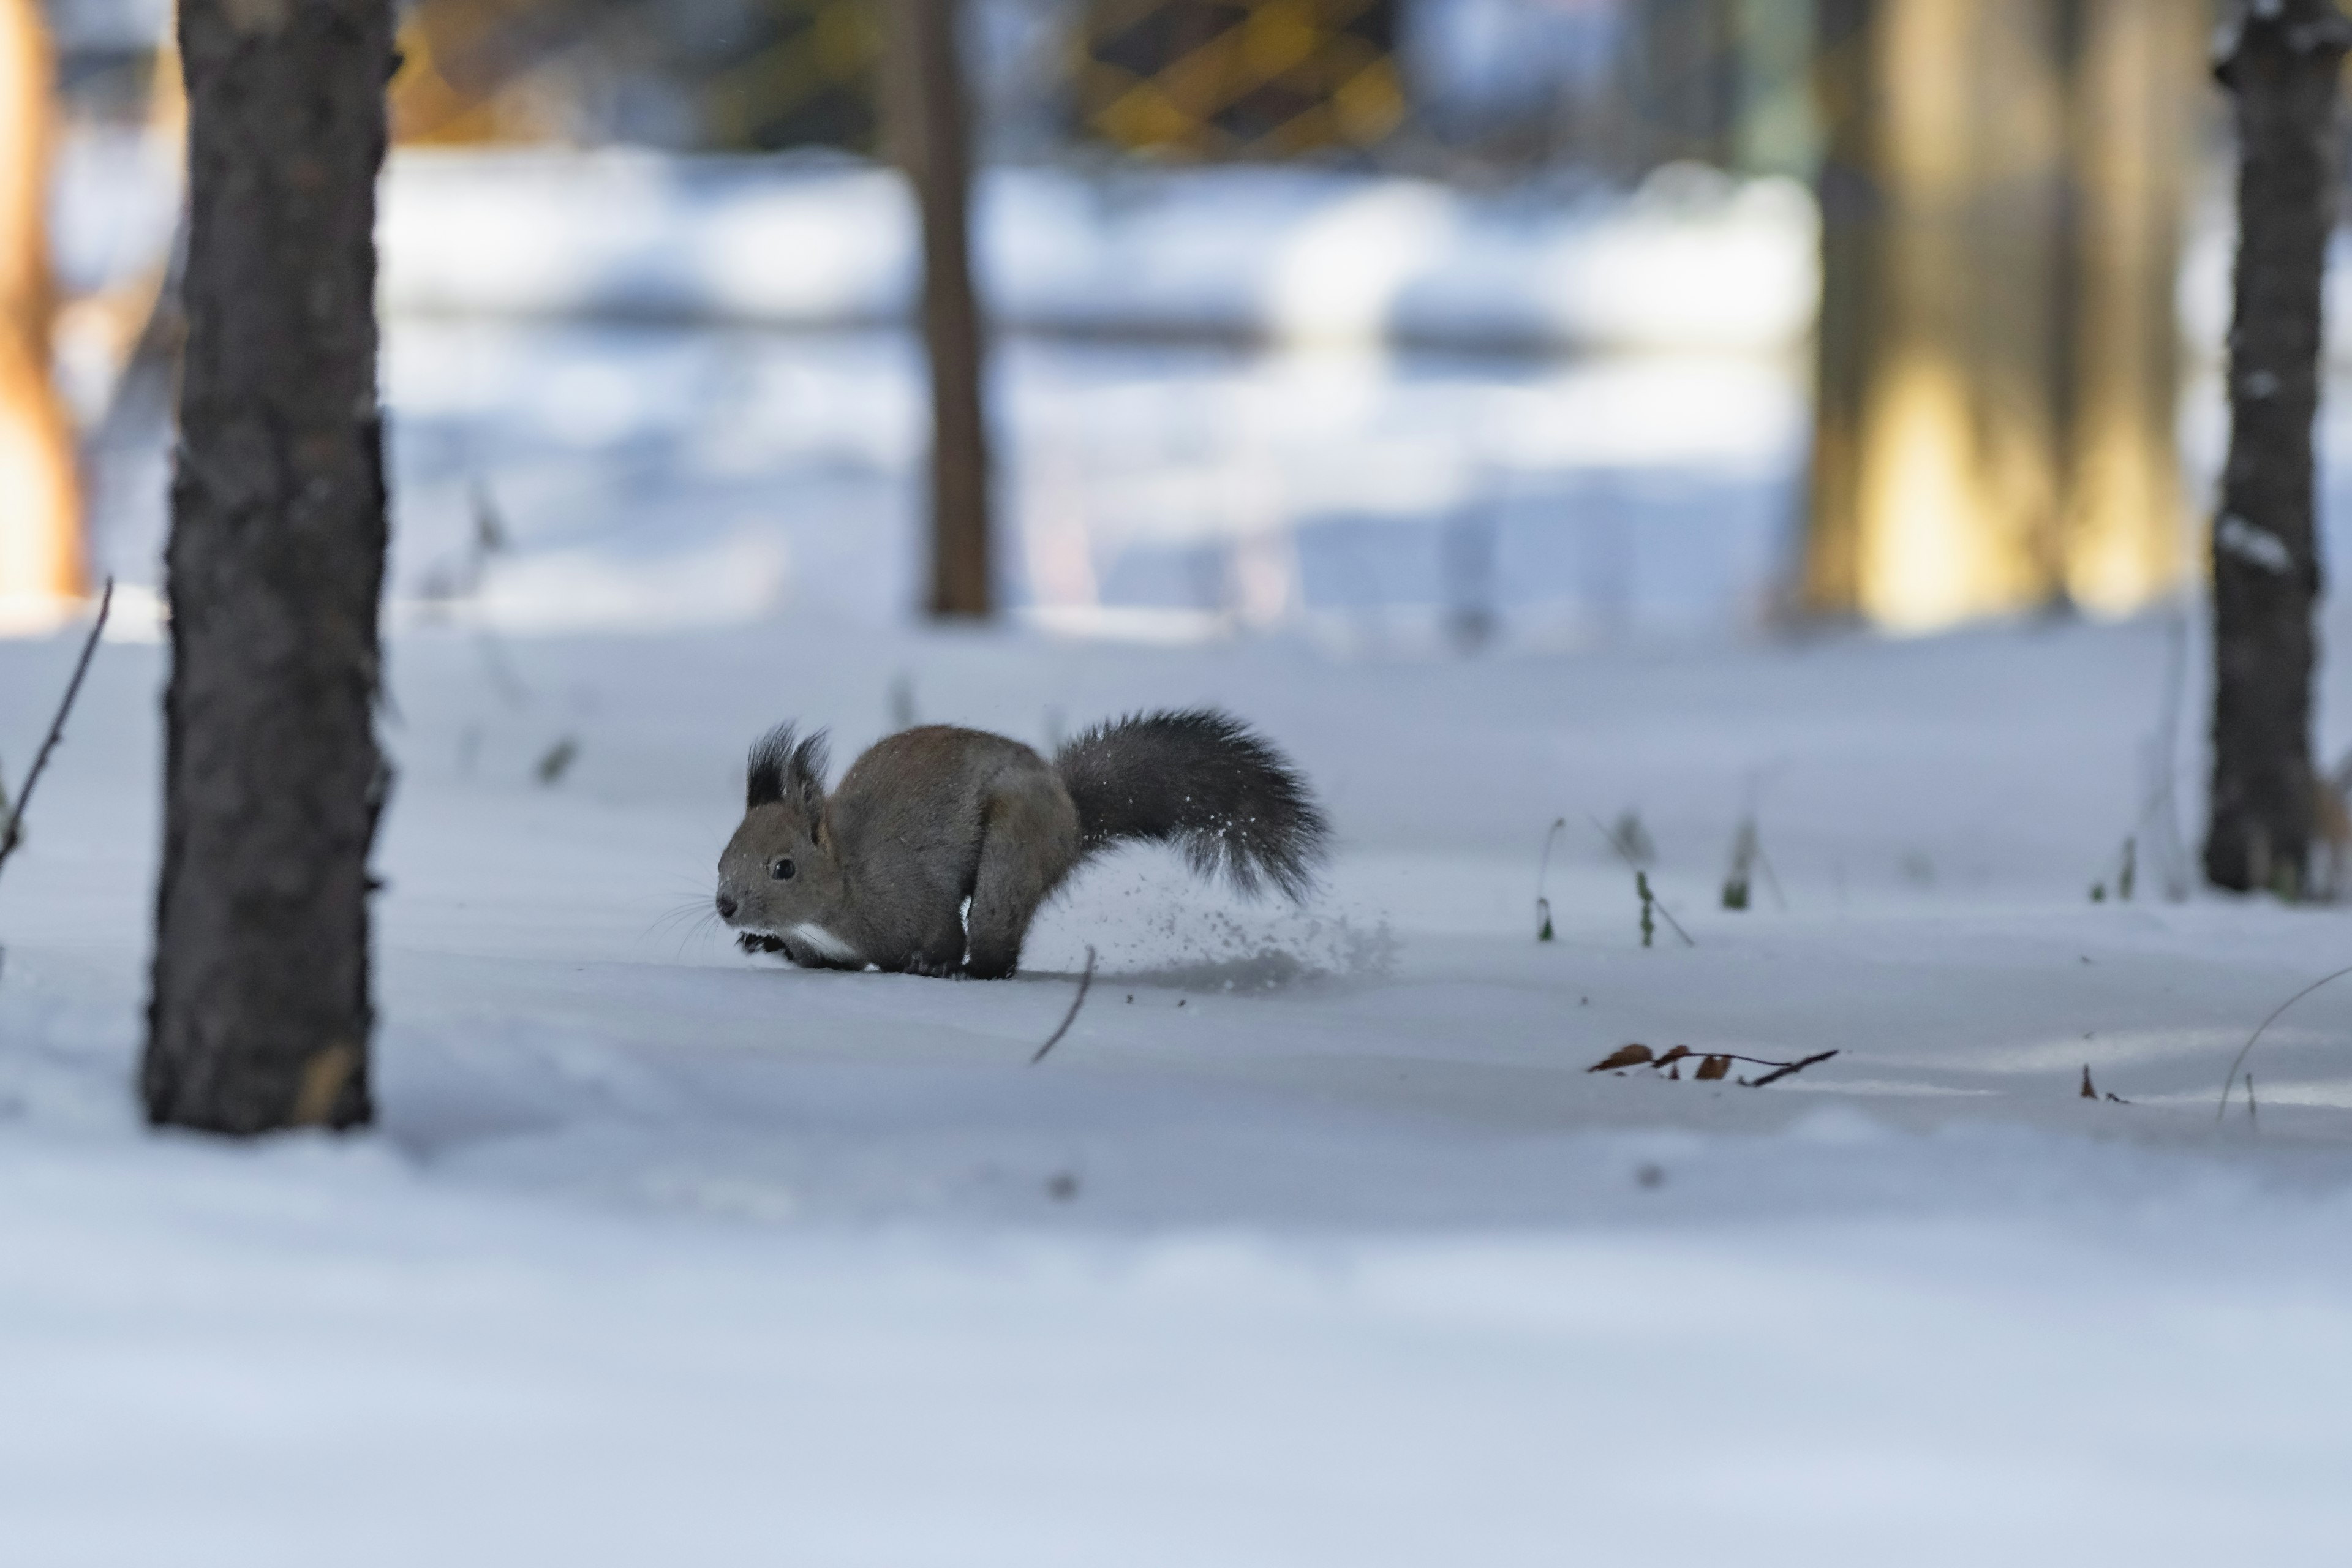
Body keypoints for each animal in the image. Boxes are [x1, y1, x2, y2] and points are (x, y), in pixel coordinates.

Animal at [706, 710, 1336, 982]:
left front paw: (933, 964)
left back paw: (973, 971)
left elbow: (941, 933)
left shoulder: (914, 899)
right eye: (721, 860)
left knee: (995, 941)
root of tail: (1072, 819)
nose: (726, 906)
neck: (845, 879)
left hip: (1014, 850)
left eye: (784, 868)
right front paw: (769, 946)